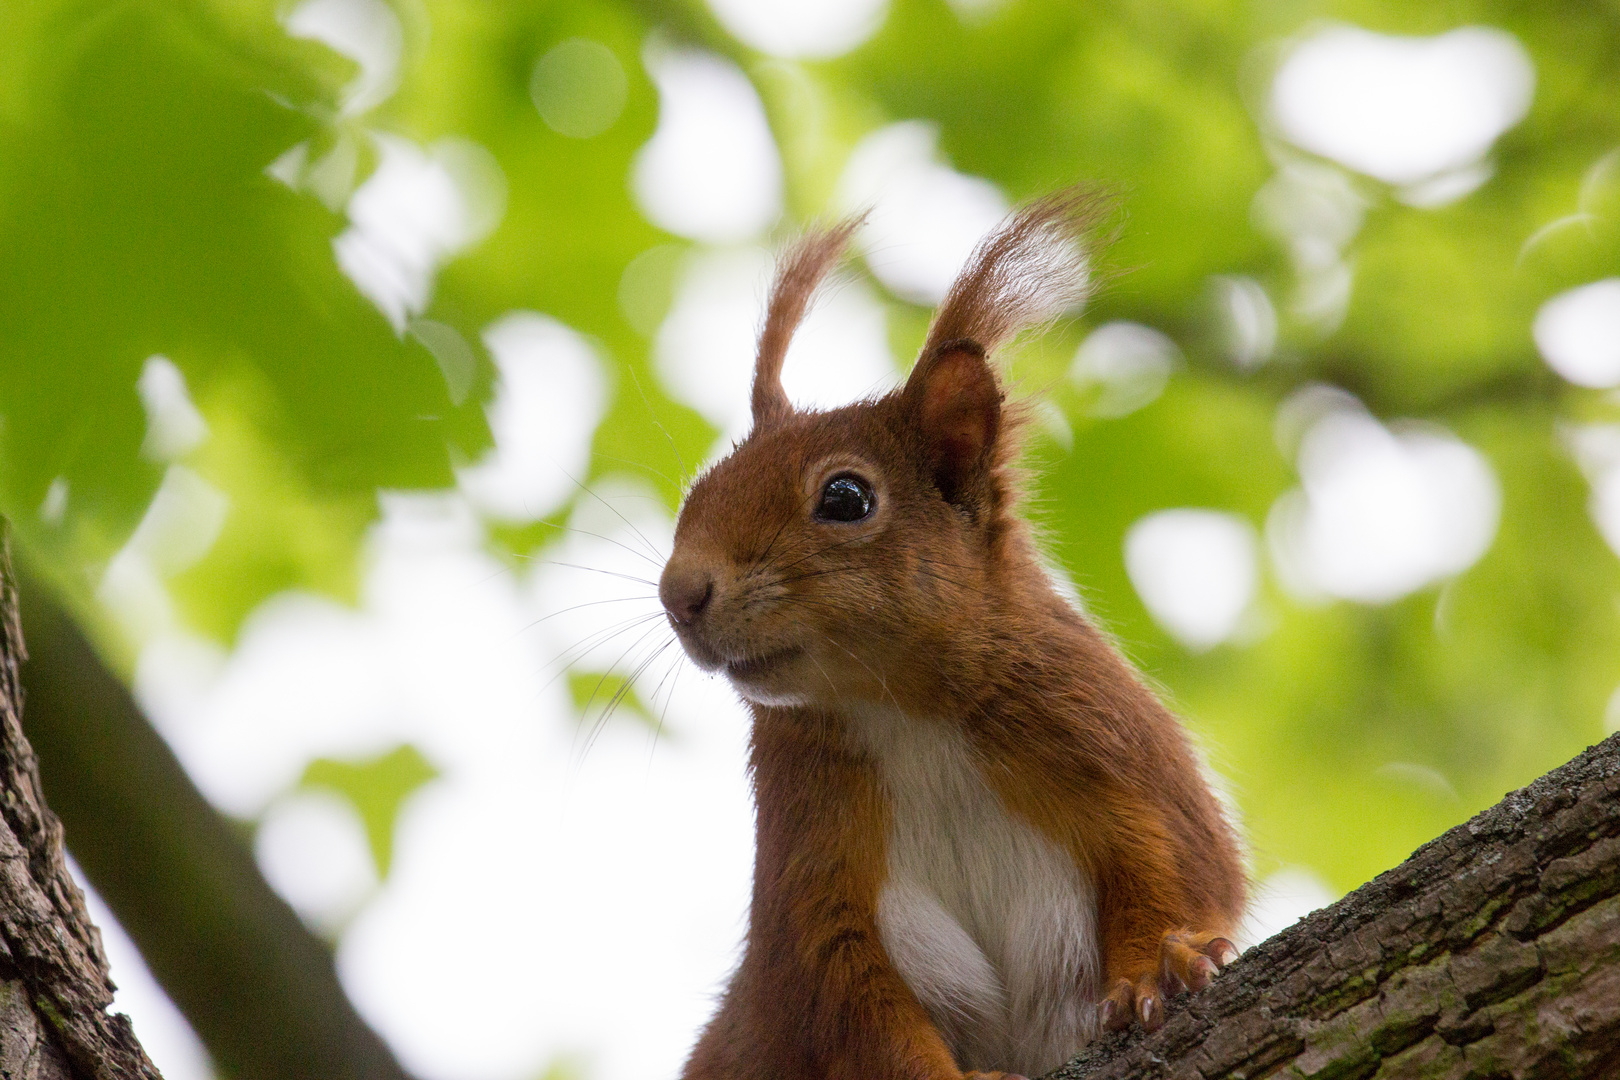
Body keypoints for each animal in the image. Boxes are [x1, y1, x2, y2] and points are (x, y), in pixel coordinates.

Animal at [654, 191, 1237, 1080]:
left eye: (846, 498)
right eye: (699, 490)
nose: (679, 594)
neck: (901, 707)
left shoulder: (1109, 741)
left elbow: (1176, 865)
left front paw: (1158, 968)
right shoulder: (817, 865)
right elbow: (850, 1000)